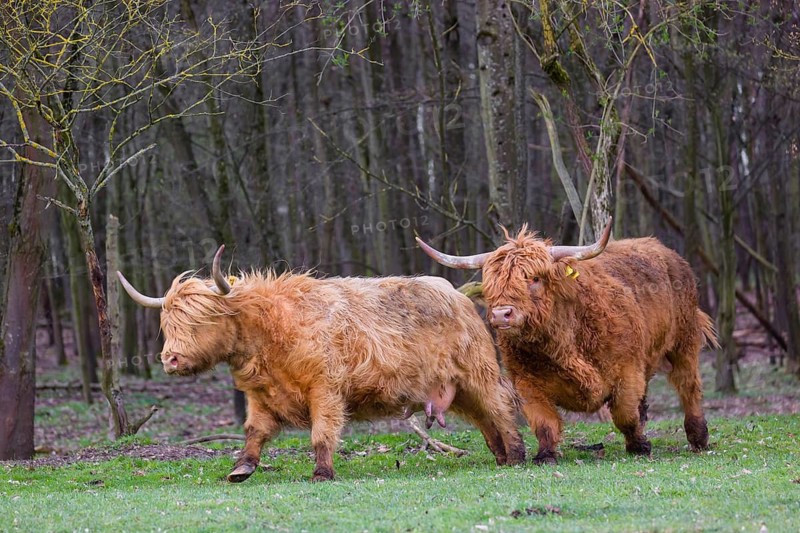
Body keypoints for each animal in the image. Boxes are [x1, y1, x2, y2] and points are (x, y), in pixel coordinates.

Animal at [118, 246, 526, 483]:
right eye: (168, 324)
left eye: (201, 319)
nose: (170, 359)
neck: (271, 334)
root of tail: (458, 294)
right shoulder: (259, 395)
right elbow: (254, 431)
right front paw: (241, 468)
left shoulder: (326, 389)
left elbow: (322, 432)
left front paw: (322, 472)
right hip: (453, 389)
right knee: (483, 417)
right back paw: (501, 457)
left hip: (478, 371)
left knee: (499, 407)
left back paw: (518, 455)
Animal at [416, 219, 716, 464]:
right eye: (490, 284)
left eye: (534, 278)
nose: (502, 314)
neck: (563, 341)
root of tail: (664, 250)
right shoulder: (526, 383)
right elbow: (544, 423)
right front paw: (545, 455)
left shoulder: (627, 370)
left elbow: (625, 413)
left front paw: (640, 446)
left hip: (684, 340)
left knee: (688, 385)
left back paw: (698, 437)